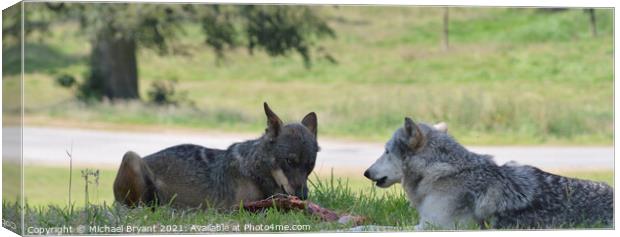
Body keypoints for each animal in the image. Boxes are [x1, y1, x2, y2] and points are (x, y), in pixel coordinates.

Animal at [112, 103, 322, 210]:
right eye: (289, 161)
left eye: (310, 165)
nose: (303, 196)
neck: (255, 171)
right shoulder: (236, 207)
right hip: (131, 158)